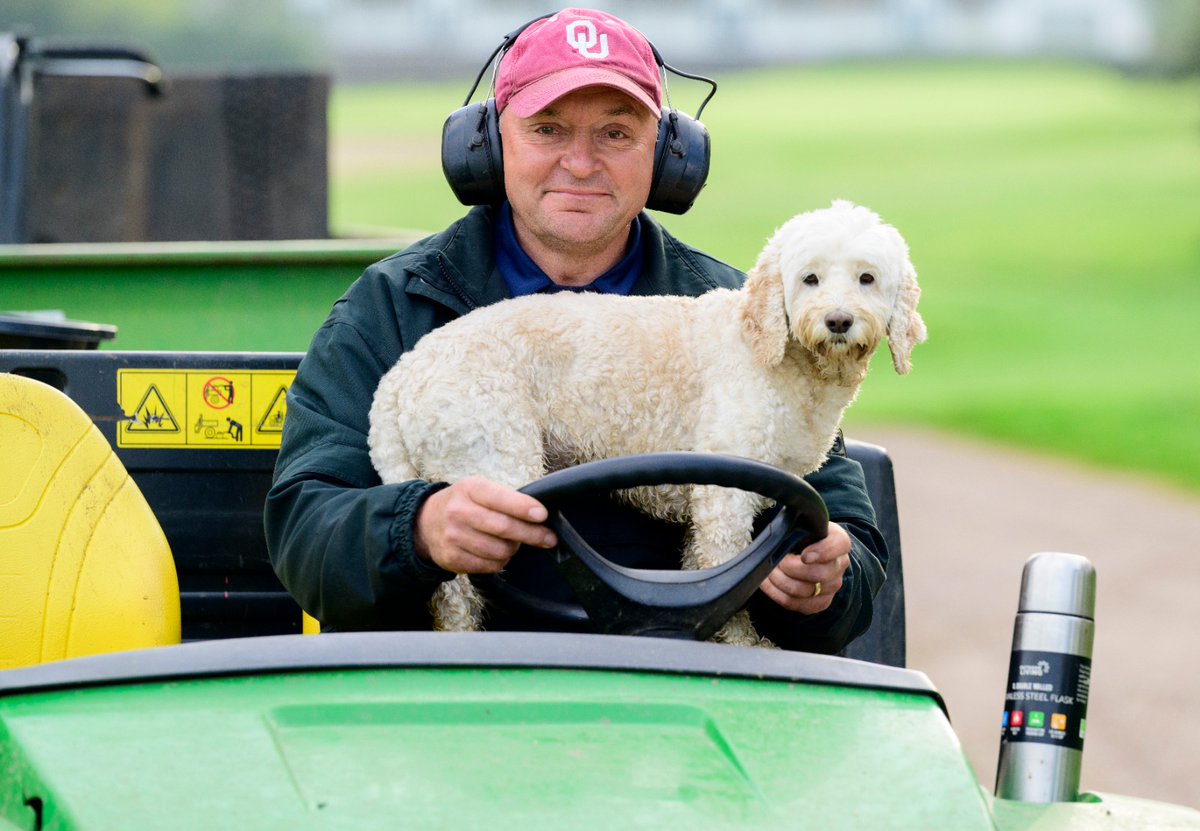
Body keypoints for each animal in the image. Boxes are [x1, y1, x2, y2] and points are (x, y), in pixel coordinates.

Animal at [367, 198, 926, 643]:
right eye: (810, 279)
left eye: (867, 278)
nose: (838, 321)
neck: (776, 355)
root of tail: (399, 378)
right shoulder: (724, 493)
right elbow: (724, 570)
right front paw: (740, 644)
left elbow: (707, 565)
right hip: (493, 464)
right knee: (456, 583)